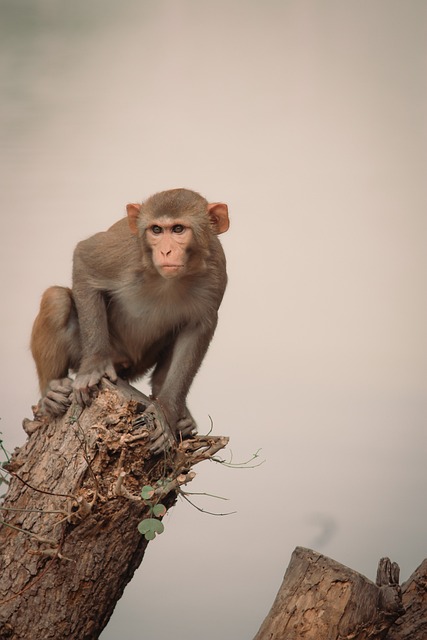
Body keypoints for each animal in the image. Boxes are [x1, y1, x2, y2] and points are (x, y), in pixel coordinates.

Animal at [30, 188, 231, 452]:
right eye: (156, 230)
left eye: (178, 229)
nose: (165, 251)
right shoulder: (125, 255)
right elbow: (84, 258)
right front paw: (94, 366)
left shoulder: (216, 272)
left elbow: (197, 328)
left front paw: (165, 413)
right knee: (57, 298)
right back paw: (50, 393)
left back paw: (174, 407)